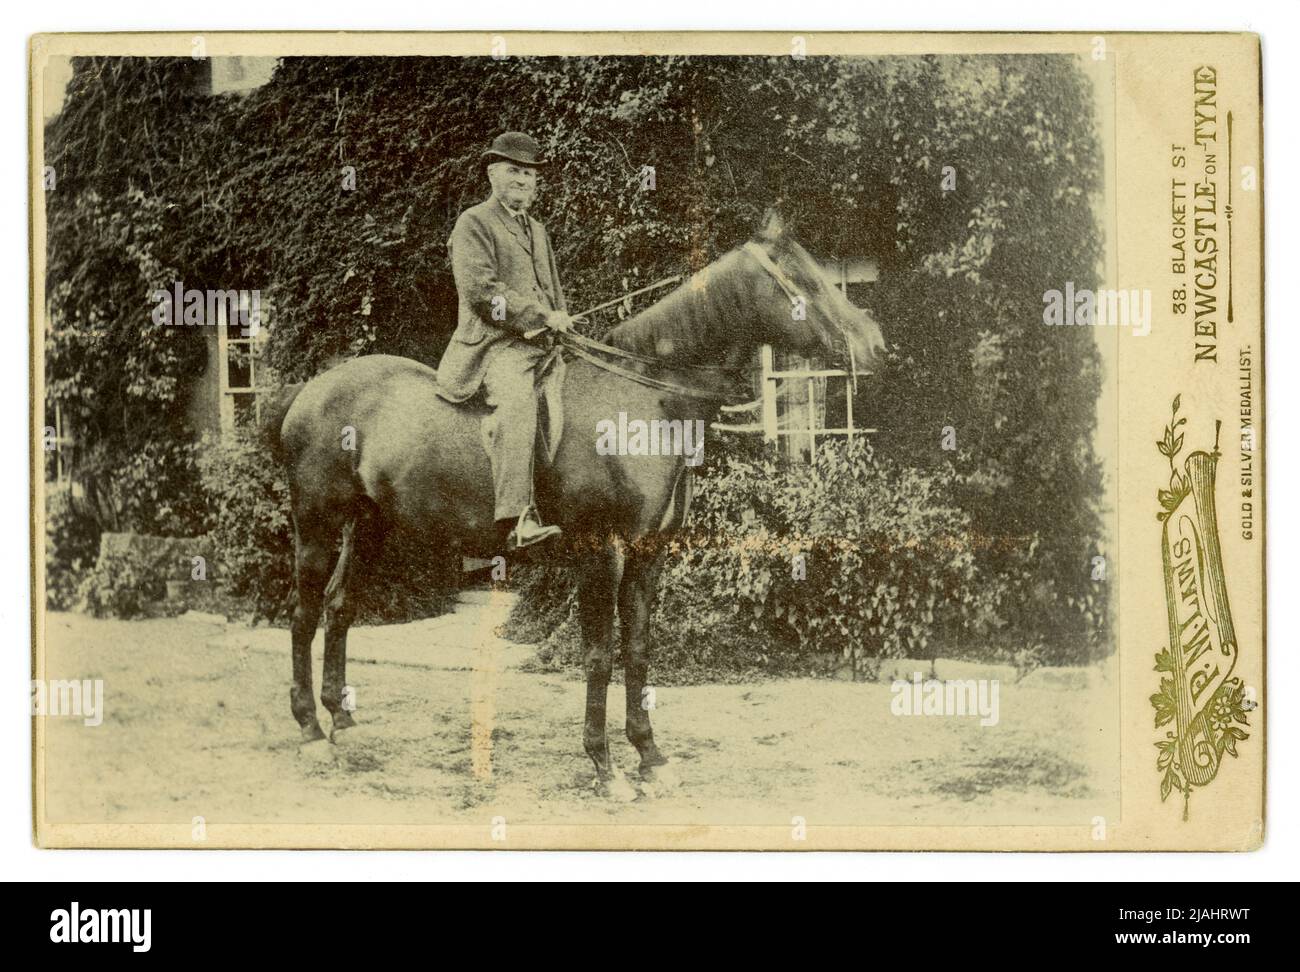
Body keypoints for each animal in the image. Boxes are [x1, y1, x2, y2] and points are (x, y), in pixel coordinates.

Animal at [269, 214, 889, 795]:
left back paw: (342, 720)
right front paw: (604, 765)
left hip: (370, 526)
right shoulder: (598, 550)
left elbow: (637, 647)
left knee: (340, 606)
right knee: (303, 612)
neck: (644, 397)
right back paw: (308, 728)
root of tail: (309, 390)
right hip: (316, 522)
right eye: (801, 276)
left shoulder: (648, 550)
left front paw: (650, 756)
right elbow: (599, 653)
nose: (876, 346)